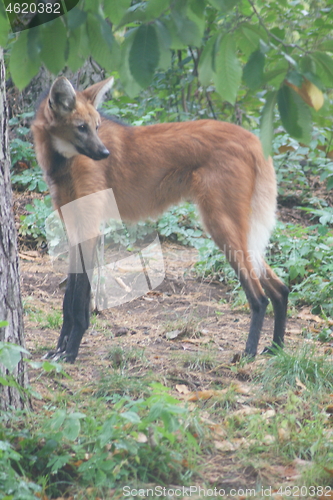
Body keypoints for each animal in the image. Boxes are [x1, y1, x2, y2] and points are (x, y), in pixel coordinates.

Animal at [31, 75, 288, 364]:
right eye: (82, 128)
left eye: (96, 127)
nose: (105, 154)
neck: (62, 163)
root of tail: (254, 139)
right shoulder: (74, 226)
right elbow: (69, 299)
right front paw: (59, 349)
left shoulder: (89, 228)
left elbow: (78, 300)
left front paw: (70, 352)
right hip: (235, 228)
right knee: (280, 288)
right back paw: (276, 347)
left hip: (220, 224)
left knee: (259, 296)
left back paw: (249, 353)